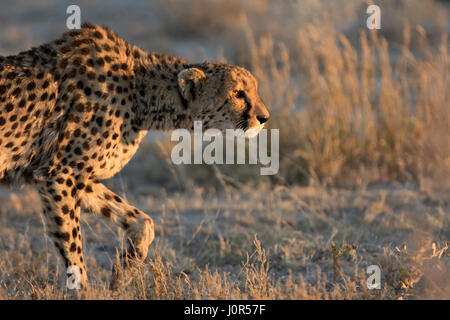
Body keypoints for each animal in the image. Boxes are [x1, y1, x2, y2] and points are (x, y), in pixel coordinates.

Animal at [0, 21, 268, 288]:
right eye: (237, 93)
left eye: (255, 89)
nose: (264, 117)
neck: (140, 91)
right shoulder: (58, 175)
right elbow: (74, 253)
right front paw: (86, 289)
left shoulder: (75, 177)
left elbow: (142, 222)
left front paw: (123, 272)